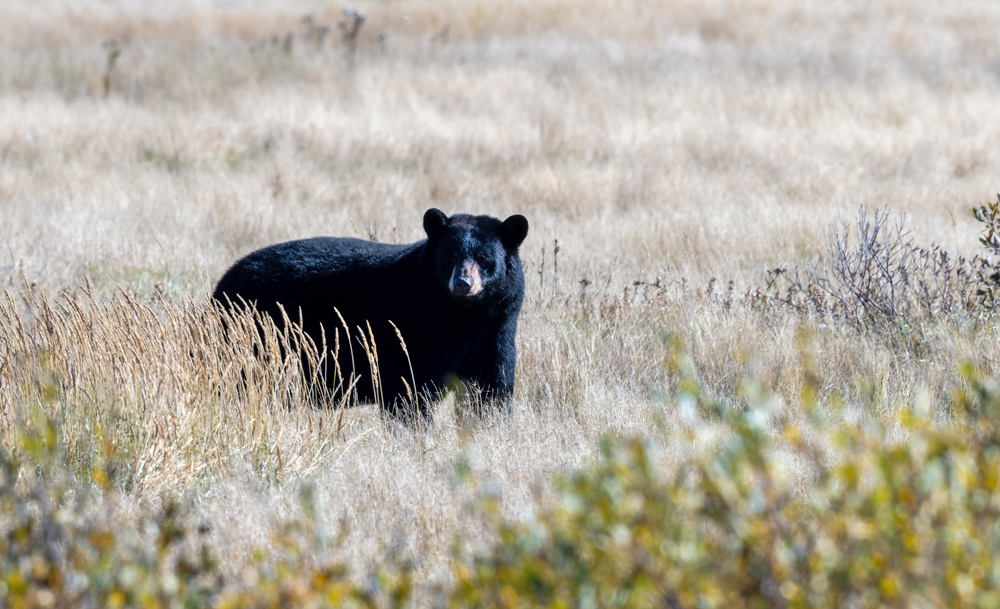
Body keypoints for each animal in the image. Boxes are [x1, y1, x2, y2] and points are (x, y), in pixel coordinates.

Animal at [212, 208, 529, 419]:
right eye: (449, 256)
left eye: (484, 258)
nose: (463, 283)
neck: (462, 317)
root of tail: (223, 283)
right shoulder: (414, 332)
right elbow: (409, 389)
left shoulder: (497, 327)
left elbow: (492, 387)